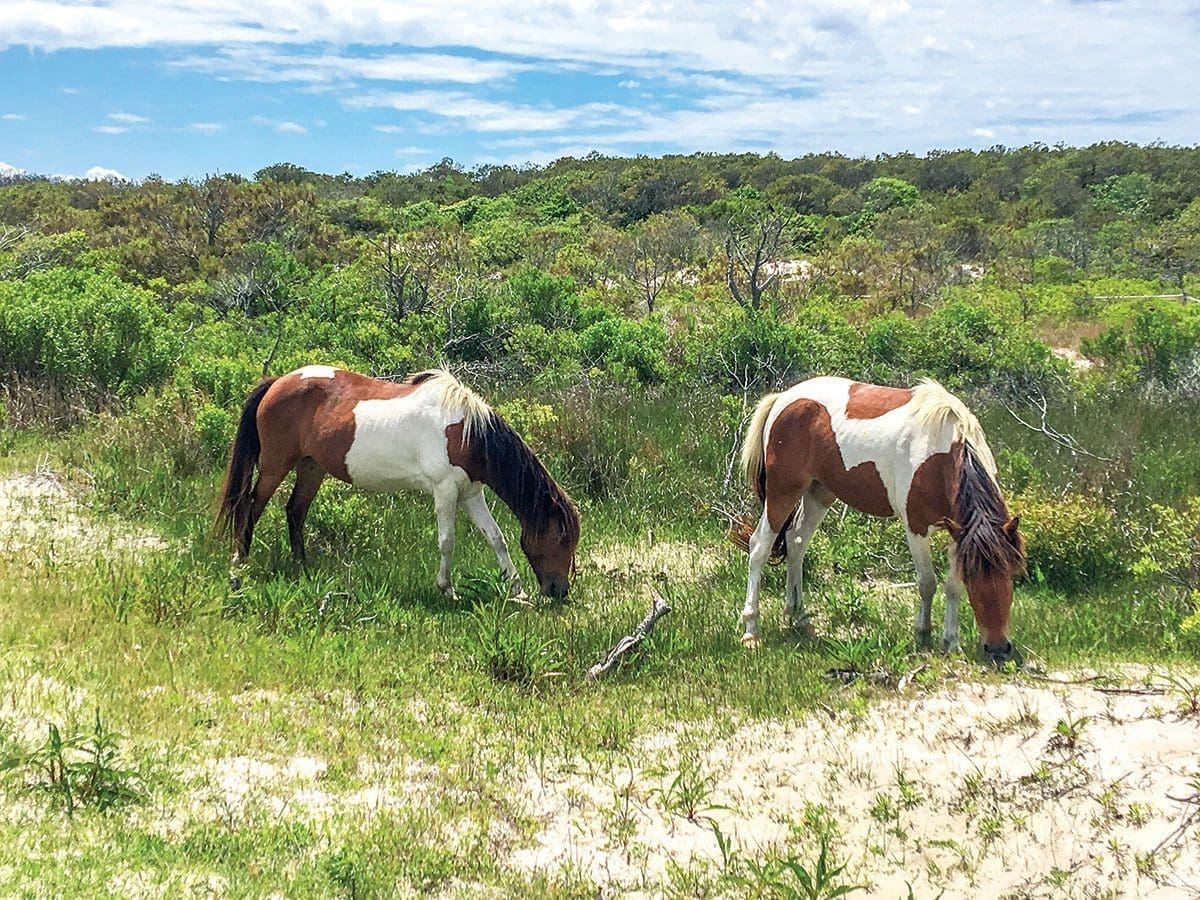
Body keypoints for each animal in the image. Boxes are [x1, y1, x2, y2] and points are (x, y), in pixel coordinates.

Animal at [214, 365, 580, 599]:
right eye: (561, 539)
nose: (559, 591)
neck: (467, 433)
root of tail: (277, 382)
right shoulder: (445, 490)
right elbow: (447, 540)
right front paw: (447, 590)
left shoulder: (471, 493)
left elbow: (496, 538)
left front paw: (517, 590)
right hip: (275, 465)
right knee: (249, 508)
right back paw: (238, 567)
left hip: (311, 467)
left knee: (295, 511)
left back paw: (302, 567)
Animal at [733, 376, 1025, 664]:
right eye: (976, 583)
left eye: (1010, 574)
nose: (998, 648)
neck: (941, 451)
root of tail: (782, 398)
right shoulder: (915, 526)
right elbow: (927, 583)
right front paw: (923, 634)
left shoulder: (958, 530)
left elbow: (952, 586)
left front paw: (951, 643)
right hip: (782, 493)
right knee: (759, 548)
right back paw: (752, 630)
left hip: (819, 494)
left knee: (796, 543)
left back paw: (800, 618)